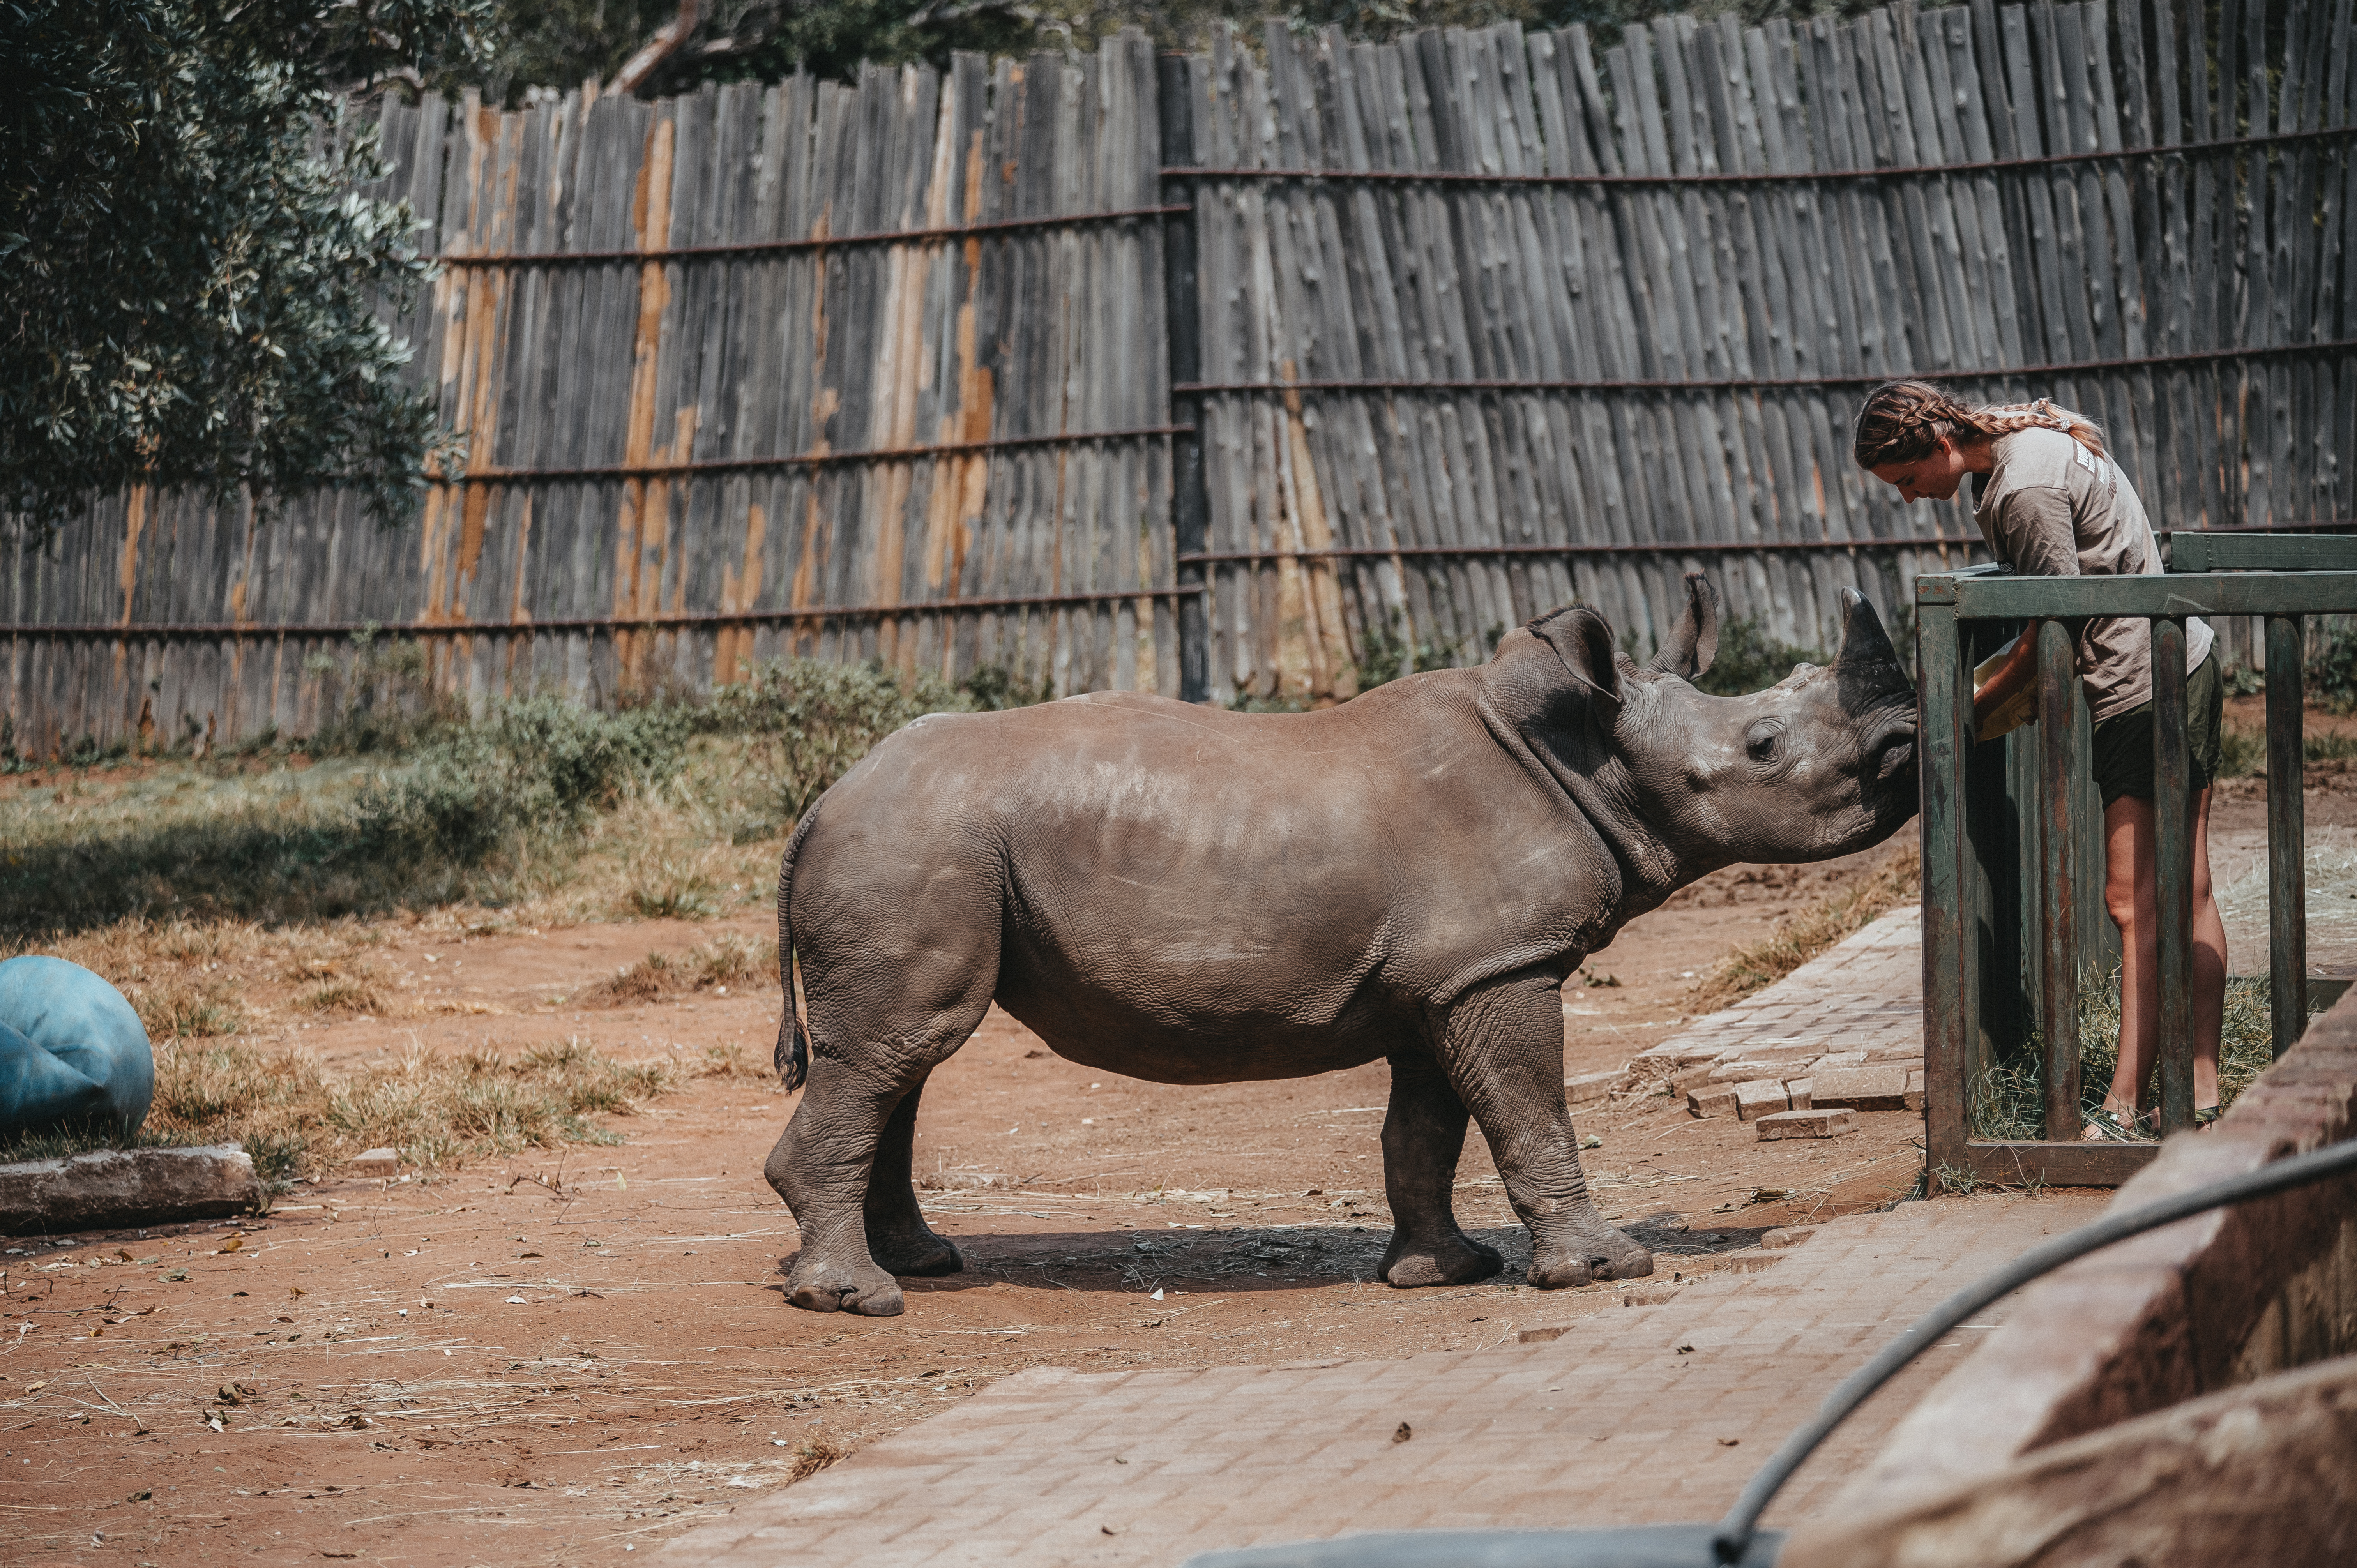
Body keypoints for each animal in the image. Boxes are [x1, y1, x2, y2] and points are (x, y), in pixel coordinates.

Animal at [765, 573, 1918, 1314]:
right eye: (1763, 746)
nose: (1908, 748)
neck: (1589, 757)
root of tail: (822, 801)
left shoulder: (1451, 976)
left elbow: (1428, 1131)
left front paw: (1443, 1272)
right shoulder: (1503, 965)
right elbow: (1530, 1110)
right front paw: (1605, 1271)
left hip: (926, 843)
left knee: (899, 1059)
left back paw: (924, 1264)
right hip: (915, 842)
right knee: (900, 1047)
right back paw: (860, 1300)